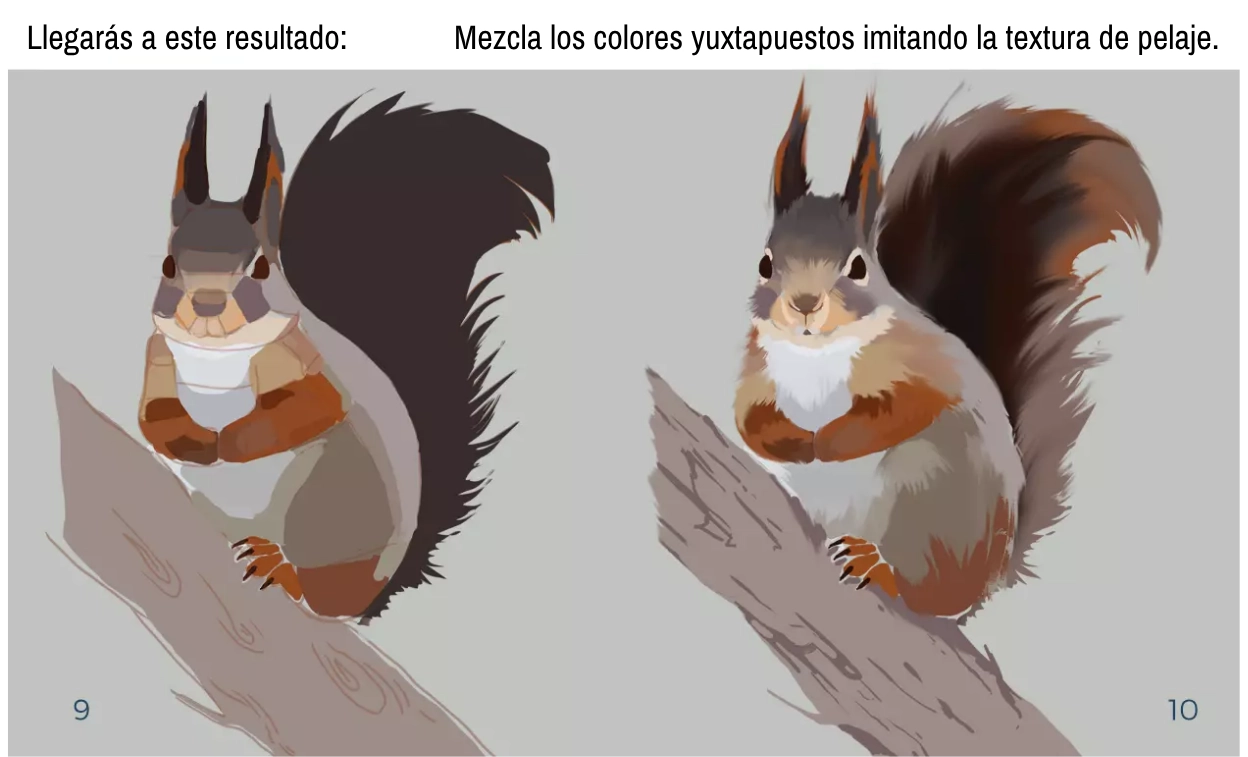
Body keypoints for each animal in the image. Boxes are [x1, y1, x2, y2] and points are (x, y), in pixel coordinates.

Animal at [139, 93, 554, 622]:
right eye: (169, 264)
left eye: (260, 267)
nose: (207, 306)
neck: (216, 353)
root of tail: (379, 590)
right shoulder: (156, 357)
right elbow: (152, 414)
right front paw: (191, 440)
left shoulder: (304, 359)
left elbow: (313, 406)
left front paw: (228, 442)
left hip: (322, 505)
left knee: (326, 592)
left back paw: (282, 567)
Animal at [735, 83, 1161, 620]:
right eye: (765, 263)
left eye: (858, 267)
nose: (805, 305)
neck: (815, 355)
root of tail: (993, 574)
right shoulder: (757, 367)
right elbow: (747, 419)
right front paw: (789, 440)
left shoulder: (926, 361)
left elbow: (914, 404)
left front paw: (829, 441)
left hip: (926, 490)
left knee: (931, 592)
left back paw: (880, 567)